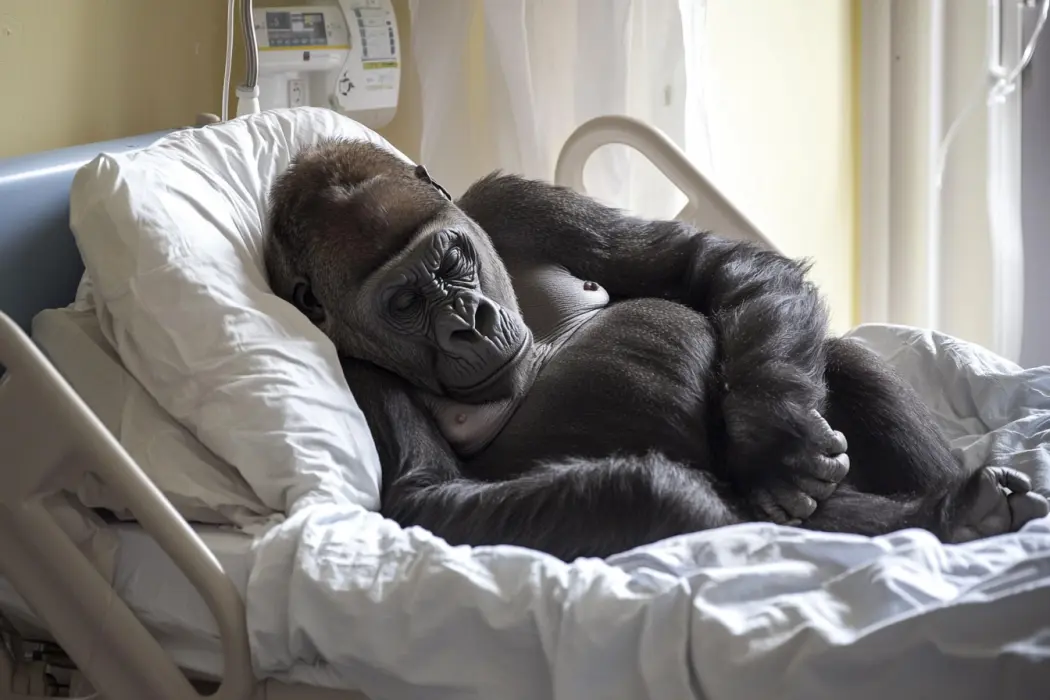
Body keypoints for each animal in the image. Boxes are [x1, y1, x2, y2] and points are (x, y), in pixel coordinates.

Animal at [262, 137, 1049, 562]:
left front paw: (776, 436)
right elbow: (430, 497)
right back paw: (951, 515)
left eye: (451, 259)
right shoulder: (357, 373)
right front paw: (679, 494)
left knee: (836, 357)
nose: (470, 322)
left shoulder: (510, 200)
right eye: (404, 303)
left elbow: (709, 267)